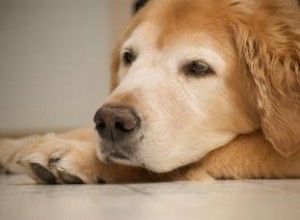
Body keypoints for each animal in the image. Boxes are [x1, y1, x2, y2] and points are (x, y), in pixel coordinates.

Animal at [0, 0, 300, 183]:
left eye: (198, 67)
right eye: (129, 57)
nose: (111, 120)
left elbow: (203, 157)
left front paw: (78, 156)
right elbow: (82, 128)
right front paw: (16, 145)